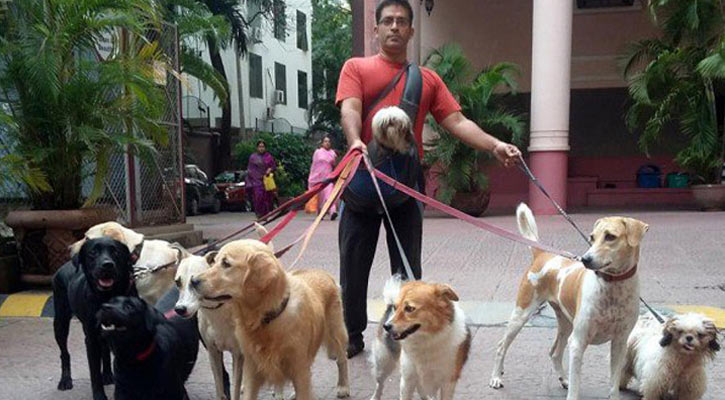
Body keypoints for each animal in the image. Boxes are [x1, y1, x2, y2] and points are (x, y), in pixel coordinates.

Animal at [52, 237, 136, 400]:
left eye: (115, 251)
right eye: (93, 252)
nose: (107, 265)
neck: (108, 296)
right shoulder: (90, 339)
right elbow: (94, 373)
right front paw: (99, 396)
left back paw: (108, 375)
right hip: (60, 322)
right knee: (64, 353)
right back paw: (65, 380)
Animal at [190, 239, 350, 400]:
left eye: (226, 263)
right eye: (214, 262)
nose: (193, 281)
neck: (266, 319)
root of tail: (323, 273)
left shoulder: (299, 368)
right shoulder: (252, 369)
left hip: (336, 332)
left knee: (342, 359)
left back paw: (343, 387)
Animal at [489, 203, 649, 400]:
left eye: (611, 236)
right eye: (592, 237)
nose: (585, 259)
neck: (613, 286)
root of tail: (542, 255)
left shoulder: (620, 342)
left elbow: (613, 384)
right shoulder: (578, 342)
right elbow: (575, 386)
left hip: (565, 324)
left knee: (555, 353)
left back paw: (563, 379)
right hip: (521, 314)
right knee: (501, 346)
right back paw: (496, 377)